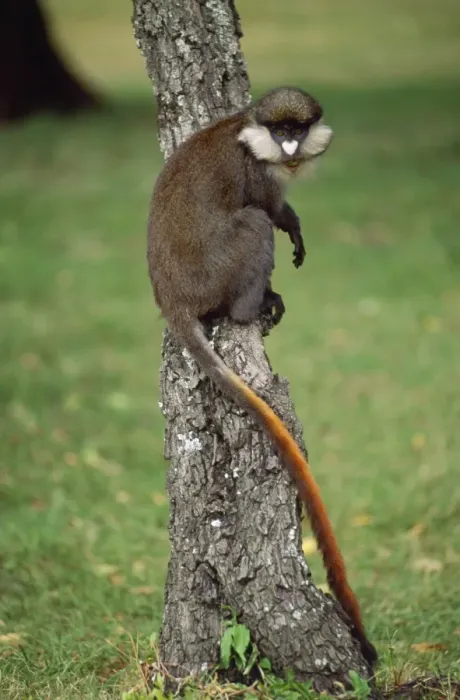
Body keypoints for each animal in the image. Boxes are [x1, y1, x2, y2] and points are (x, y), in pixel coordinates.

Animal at [147, 87, 377, 666]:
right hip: (216, 271)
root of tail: (173, 299)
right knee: (251, 224)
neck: (245, 128)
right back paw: (252, 308)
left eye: (297, 128)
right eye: (280, 132)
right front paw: (291, 225)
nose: (291, 148)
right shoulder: (259, 173)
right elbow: (270, 209)